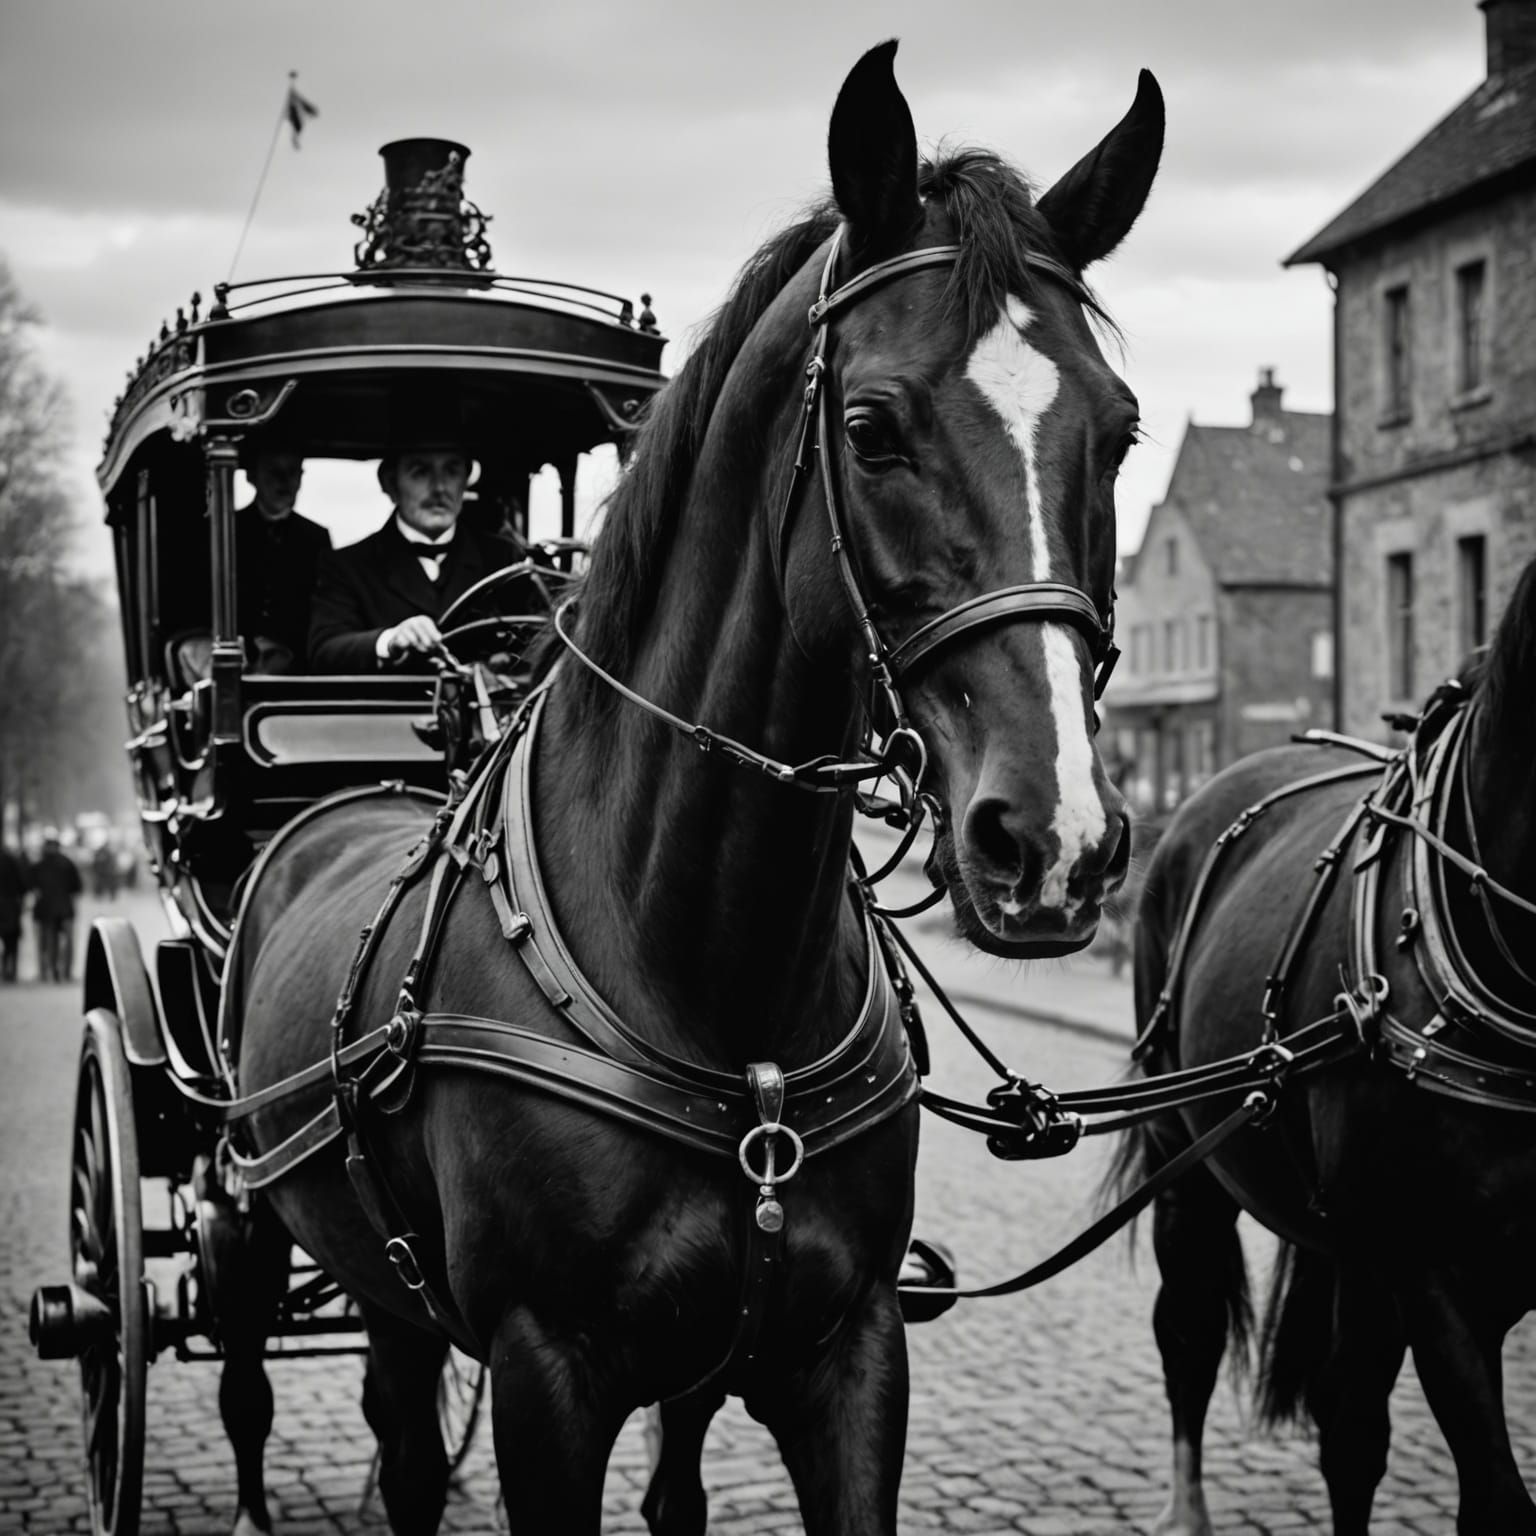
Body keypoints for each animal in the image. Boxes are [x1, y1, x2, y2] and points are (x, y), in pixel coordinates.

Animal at [222, 43, 1164, 1536]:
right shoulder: (547, 1378)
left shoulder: (847, 1354)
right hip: (266, 1219)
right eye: (869, 427)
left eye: (1120, 433)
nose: (1055, 839)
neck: (716, 972)